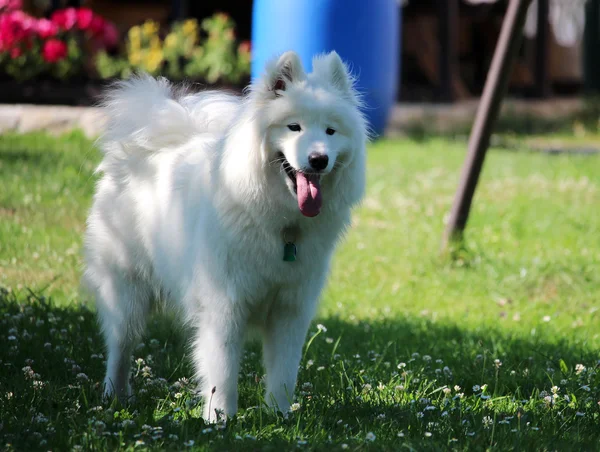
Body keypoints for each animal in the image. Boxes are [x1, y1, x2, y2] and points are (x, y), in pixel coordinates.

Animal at [83, 51, 366, 422]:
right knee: (120, 347)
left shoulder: (290, 309)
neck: (279, 224)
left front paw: (281, 417)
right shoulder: (224, 305)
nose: (319, 159)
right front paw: (220, 420)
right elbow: (222, 371)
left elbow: (283, 373)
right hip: (126, 291)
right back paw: (115, 396)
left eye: (331, 131)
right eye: (294, 127)